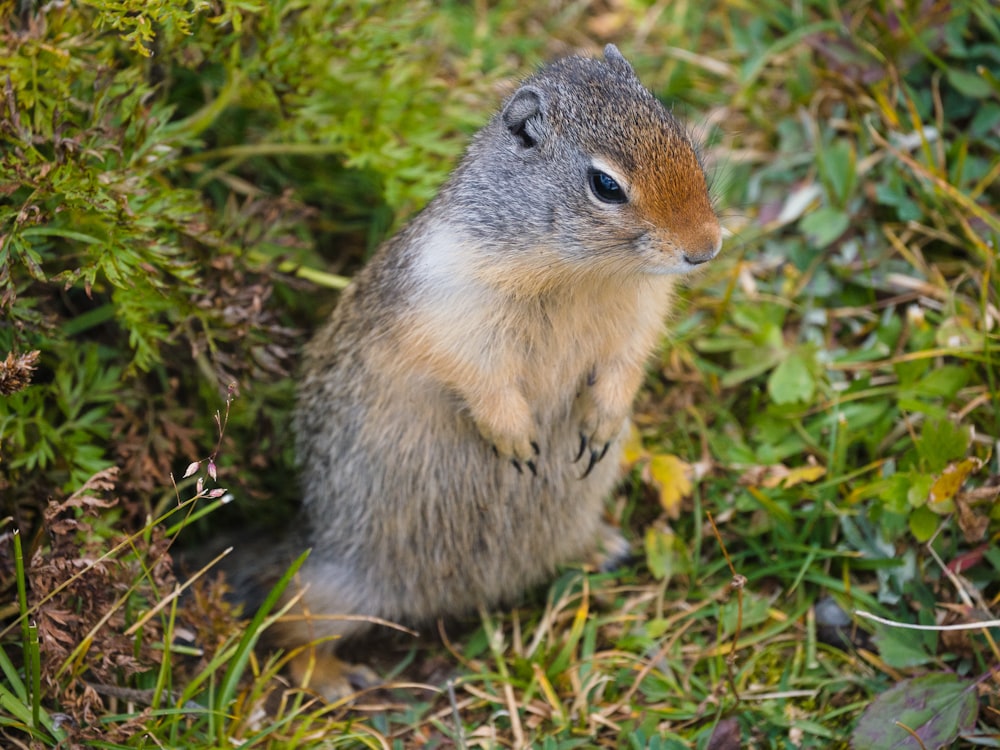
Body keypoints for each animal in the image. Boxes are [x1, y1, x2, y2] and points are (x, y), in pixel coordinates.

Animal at [278, 44, 724, 704]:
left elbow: (624, 366)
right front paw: (518, 441)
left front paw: (601, 424)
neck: (580, 272)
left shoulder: (639, 319)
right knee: (287, 624)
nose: (706, 247)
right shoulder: (457, 314)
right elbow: (482, 380)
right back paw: (335, 679)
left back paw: (602, 547)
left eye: (685, 141)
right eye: (606, 185)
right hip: (335, 588)